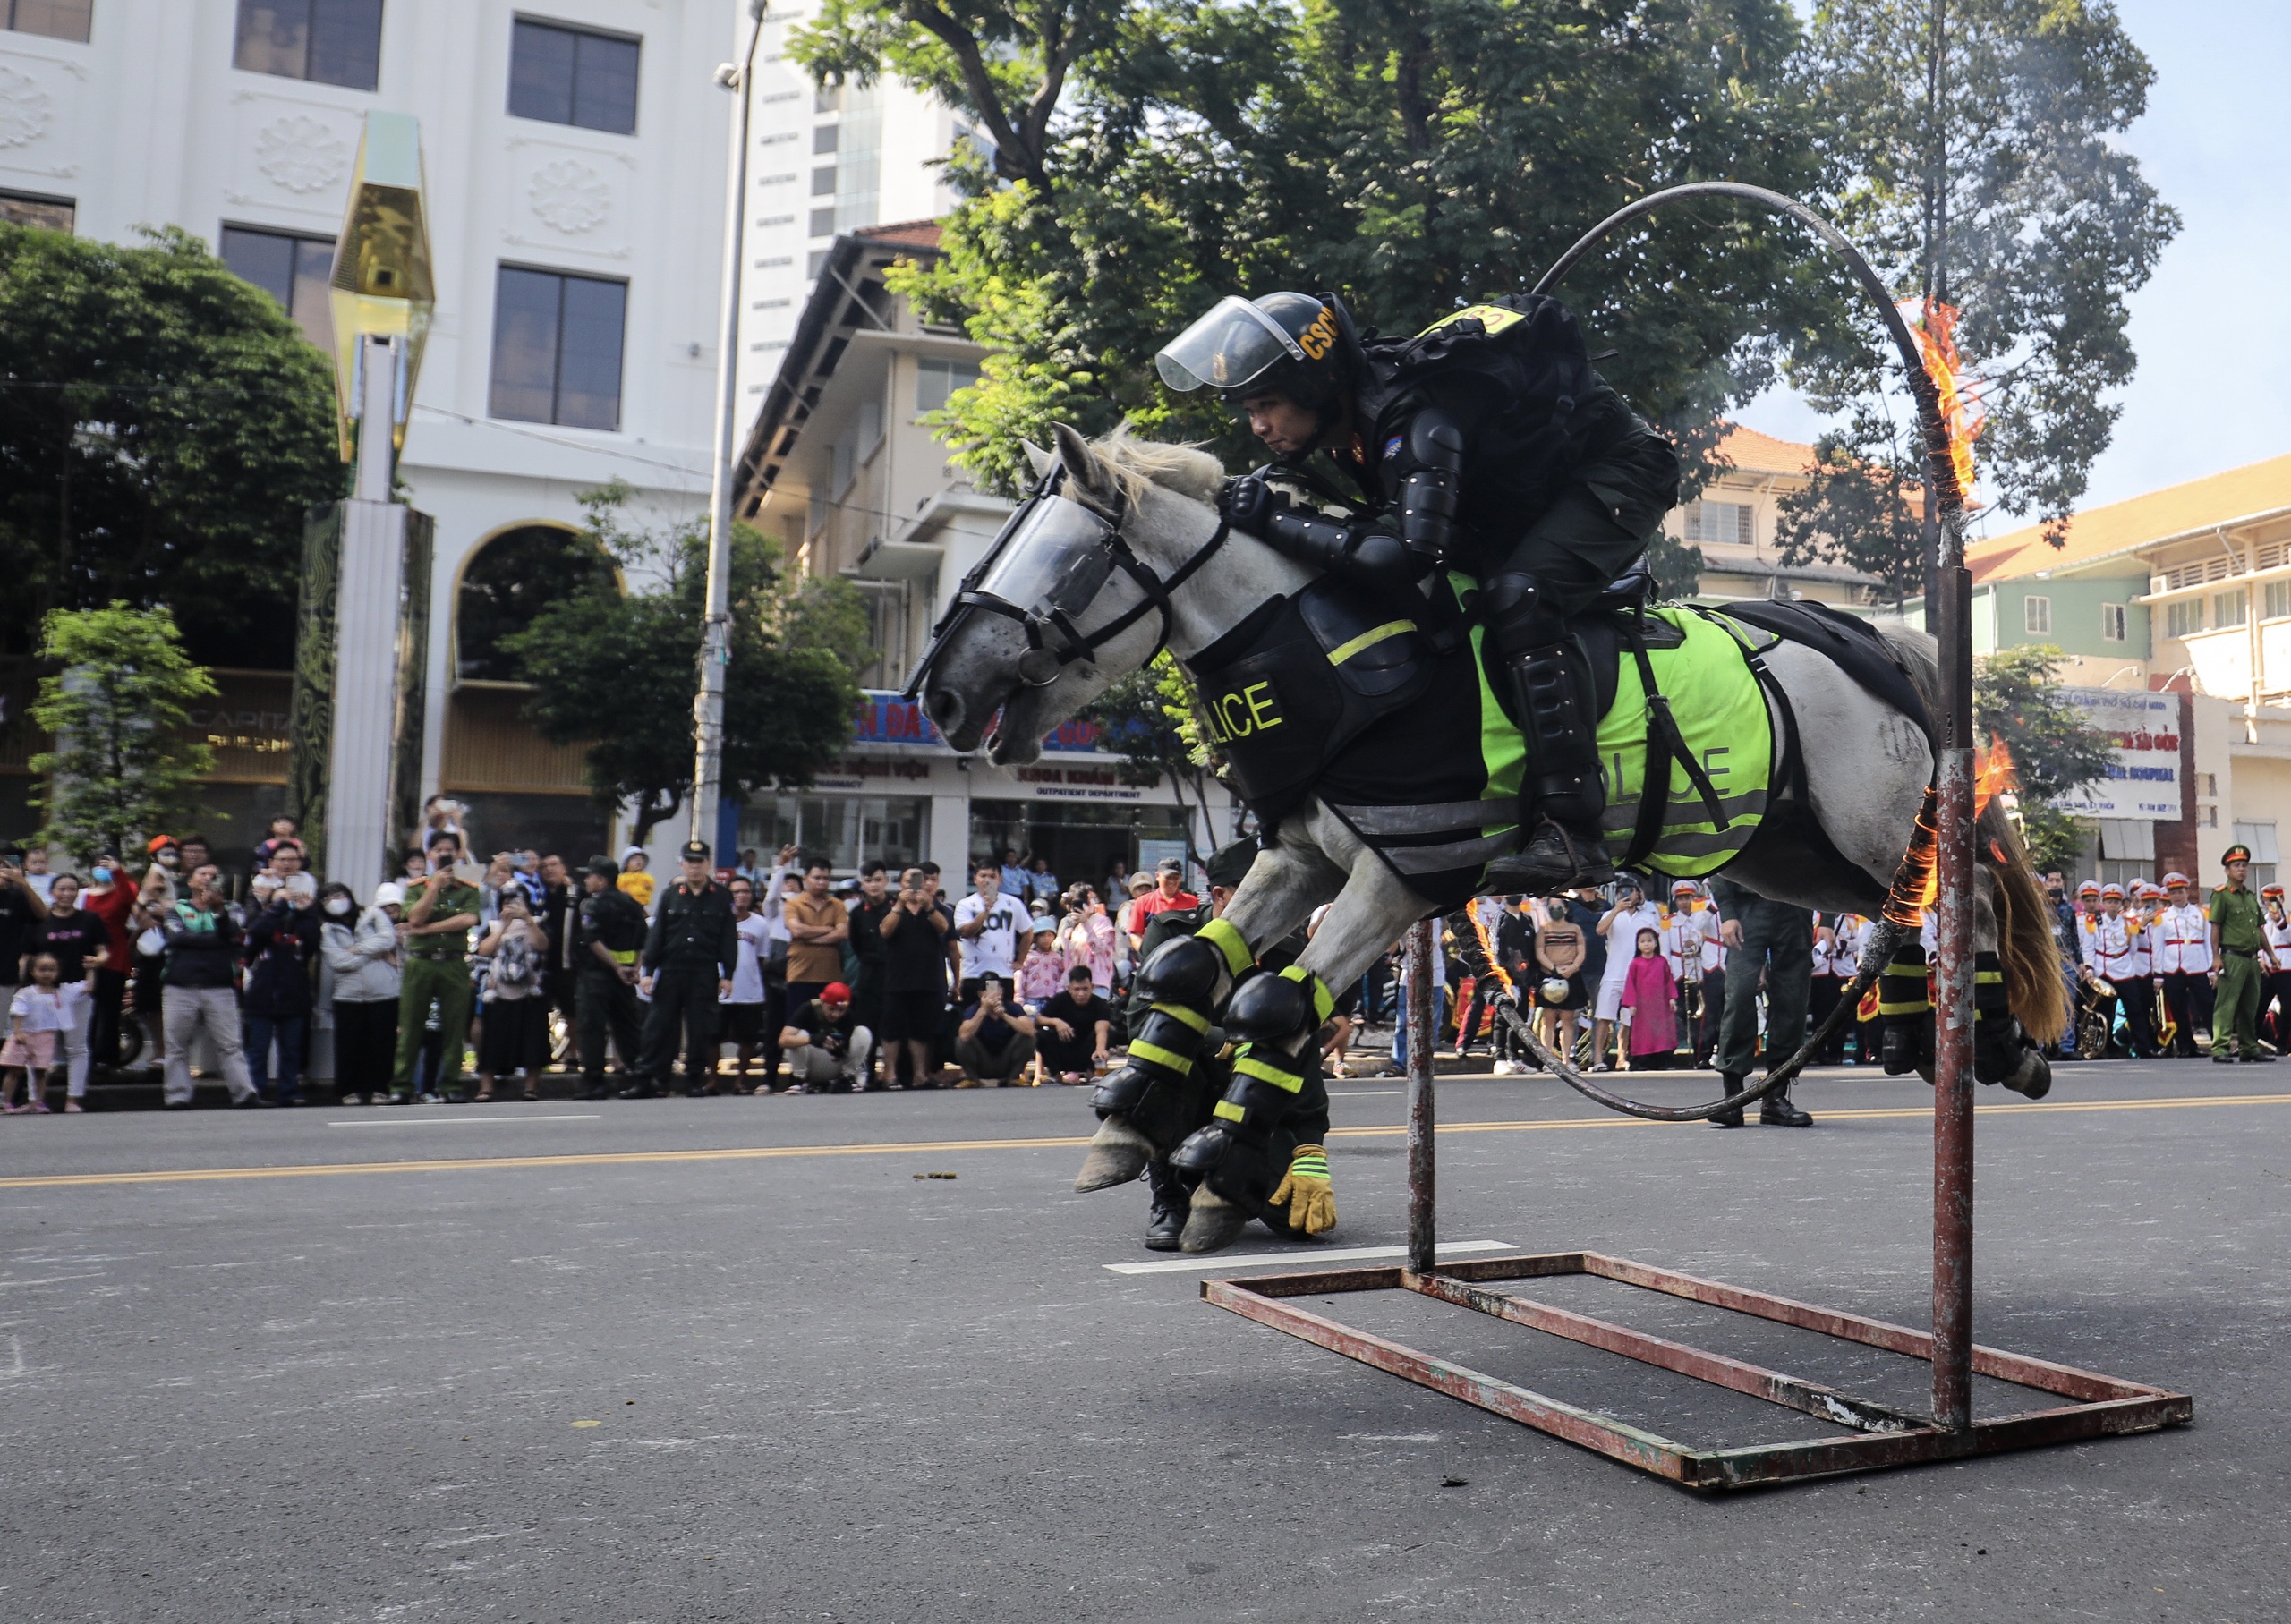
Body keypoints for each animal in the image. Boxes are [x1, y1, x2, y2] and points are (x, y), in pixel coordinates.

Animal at [916, 423, 2080, 1246]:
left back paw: (1995, 1038)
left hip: (1866, 827)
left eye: (1061, 564)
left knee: (1969, 897)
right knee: (1910, 912)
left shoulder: (1396, 874)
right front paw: (1133, 1116)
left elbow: (1272, 1000)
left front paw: (1215, 1159)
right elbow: (1193, 968)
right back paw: (1924, 1031)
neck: (1345, 657)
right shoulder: (1302, 858)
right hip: (1794, 853)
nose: (942, 695)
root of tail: (1871, 635)